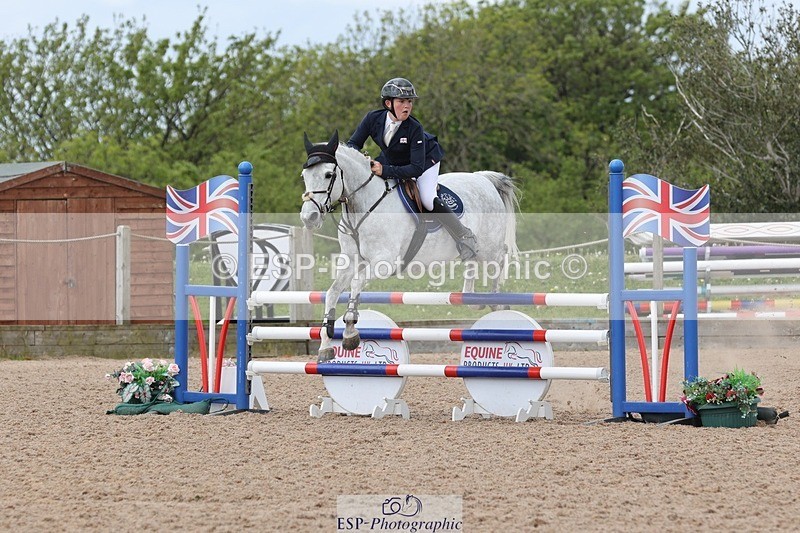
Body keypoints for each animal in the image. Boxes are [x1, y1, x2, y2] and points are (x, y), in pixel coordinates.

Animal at [300, 130, 520, 362]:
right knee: (471, 261)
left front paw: (350, 332)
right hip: (475, 248)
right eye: (304, 176)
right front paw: (325, 345)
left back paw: (496, 301)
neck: (363, 206)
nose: (309, 218)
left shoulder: (384, 262)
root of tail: (483, 178)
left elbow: (356, 283)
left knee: (499, 260)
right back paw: (473, 299)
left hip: (490, 246)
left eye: (328, 175)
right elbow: (333, 292)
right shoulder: (351, 261)